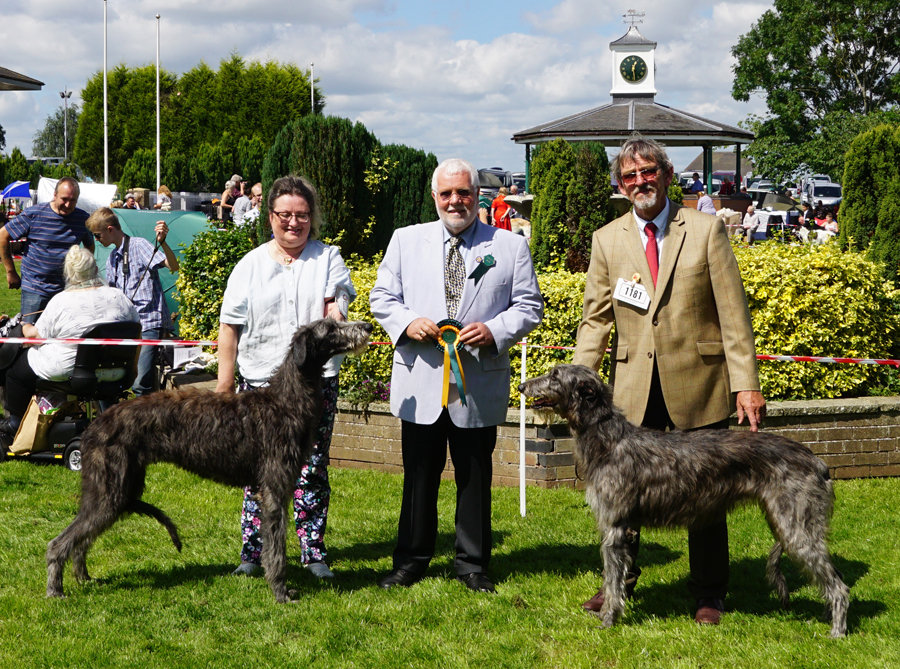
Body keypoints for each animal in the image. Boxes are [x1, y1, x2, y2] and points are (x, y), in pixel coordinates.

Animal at [44, 316, 370, 604]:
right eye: (330, 328)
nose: (367, 326)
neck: (285, 400)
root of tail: (94, 425)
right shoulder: (274, 489)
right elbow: (275, 549)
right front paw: (280, 592)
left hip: (119, 490)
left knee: (82, 539)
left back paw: (83, 578)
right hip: (111, 489)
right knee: (59, 542)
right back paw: (55, 589)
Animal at [520, 362, 852, 636]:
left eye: (555, 375)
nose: (522, 386)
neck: (608, 438)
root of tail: (818, 462)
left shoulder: (615, 527)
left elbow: (612, 580)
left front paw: (608, 620)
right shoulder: (624, 527)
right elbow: (616, 577)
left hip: (797, 528)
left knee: (840, 587)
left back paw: (837, 633)